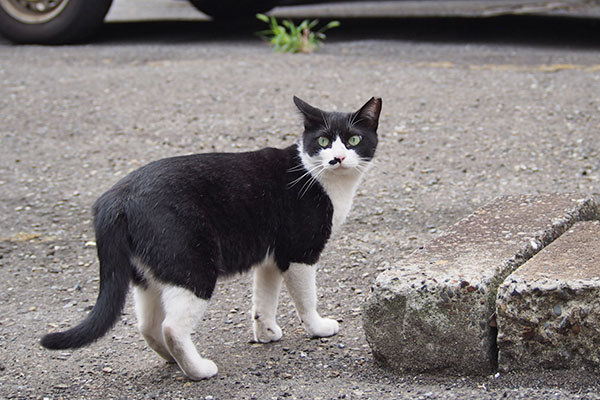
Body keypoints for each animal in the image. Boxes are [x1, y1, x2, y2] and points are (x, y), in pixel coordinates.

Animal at [42, 95, 382, 380]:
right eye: (323, 141)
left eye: (353, 140)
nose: (337, 159)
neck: (319, 179)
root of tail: (117, 196)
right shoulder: (300, 252)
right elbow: (307, 298)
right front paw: (318, 327)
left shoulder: (271, 257)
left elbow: (264, 297)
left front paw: (266, 332)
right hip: (193, 266)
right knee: (171, 328)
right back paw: (198, 370)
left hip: (149, 273)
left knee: (148, 325)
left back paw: (172, 361)